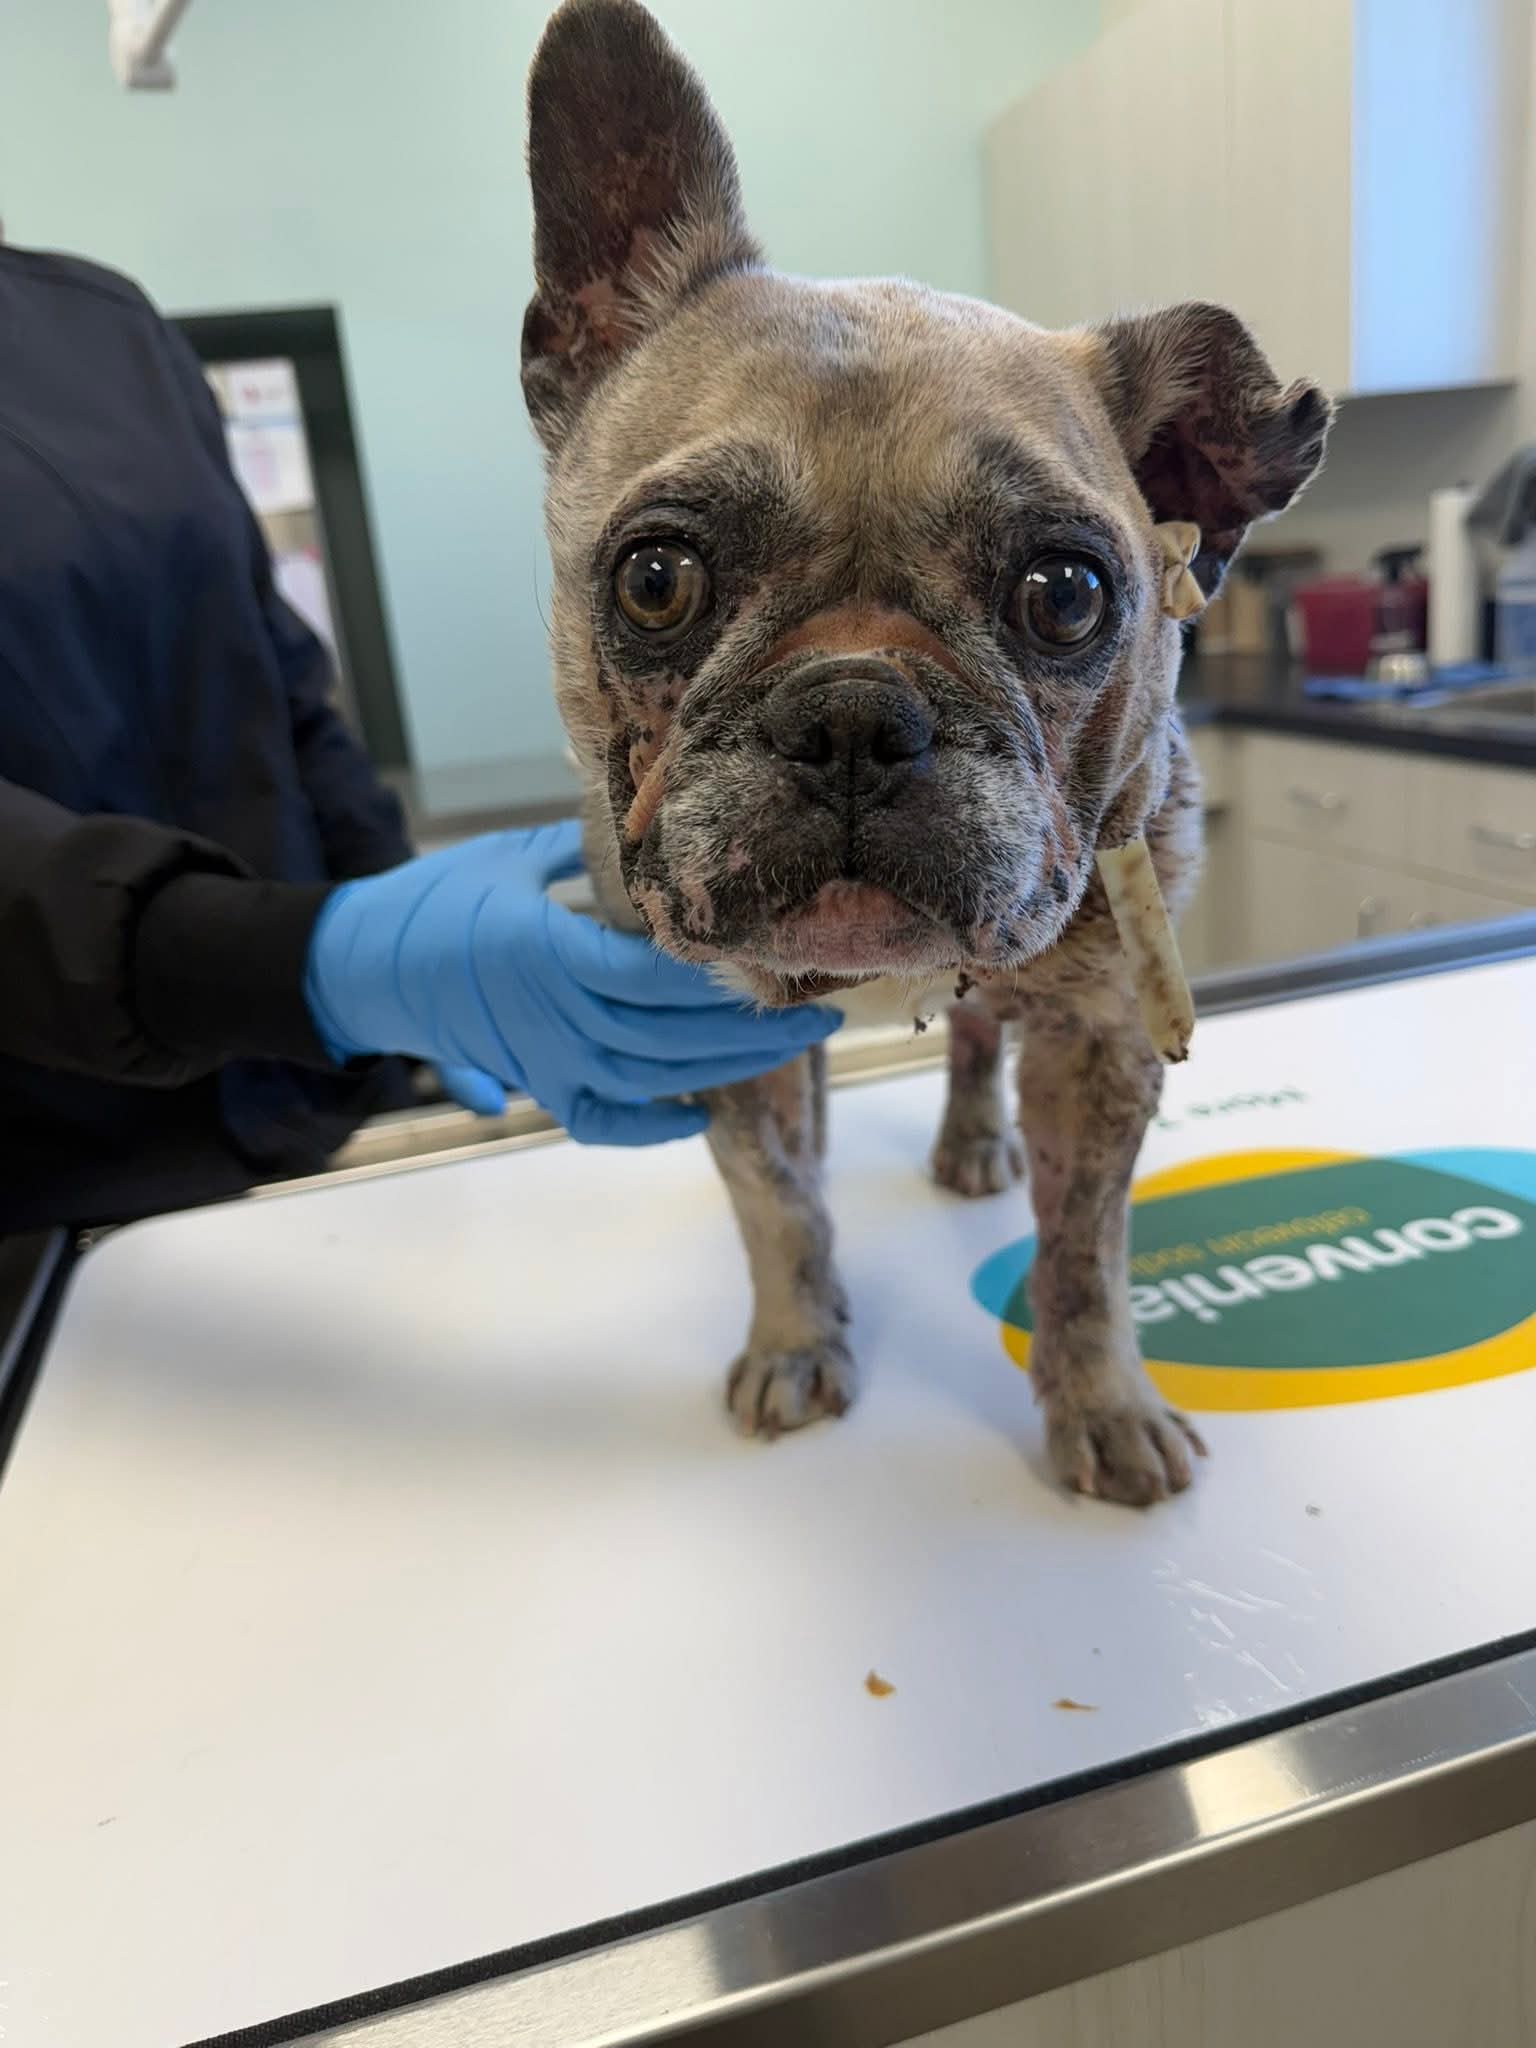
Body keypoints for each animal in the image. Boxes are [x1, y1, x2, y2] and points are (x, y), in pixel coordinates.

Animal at [520, 0, 1331, 1505]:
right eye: (655, 578)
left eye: (1067, 593)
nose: (854, 717)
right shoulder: (722, 1043)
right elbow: (776, 1203)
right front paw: (797, 1340)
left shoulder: (1102, 1043)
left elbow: (1086, 1255)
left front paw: (1103, 1401)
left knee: (969, 1038)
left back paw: (968, 1137)